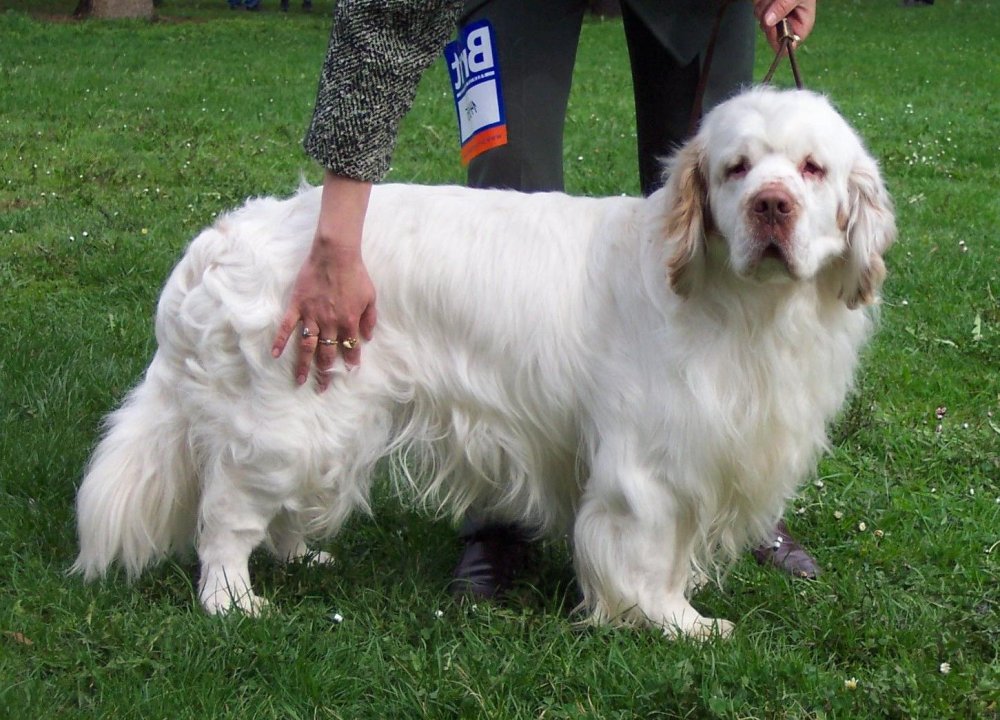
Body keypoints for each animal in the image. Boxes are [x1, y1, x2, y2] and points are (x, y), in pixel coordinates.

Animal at [74, 88, 896, 636]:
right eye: (736, 168)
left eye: (813, 169)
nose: (771, 207)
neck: (742, 307)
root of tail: (221, 239)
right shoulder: (651, 466)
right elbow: (651, 557)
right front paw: (674, 623)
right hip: (283, 418)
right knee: (225, 518)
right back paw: (233, 602)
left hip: (327, 420)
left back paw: (302, 558)